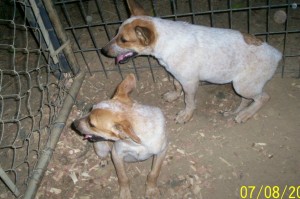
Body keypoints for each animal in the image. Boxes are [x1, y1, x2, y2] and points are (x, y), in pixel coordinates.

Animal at [101, 0, 282, 123]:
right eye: (116, 33)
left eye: (124, 40)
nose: (103, 51)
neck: (166, 42)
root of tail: (277, 54)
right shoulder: (177, 75)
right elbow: (176, 85)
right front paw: (173, 96)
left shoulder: (190, 82)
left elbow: (189, 101)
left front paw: (186, 115)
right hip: (242, 86)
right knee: (248, 99)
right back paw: (236, 112)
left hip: (243, 85)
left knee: (263, 97)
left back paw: (245, 114)